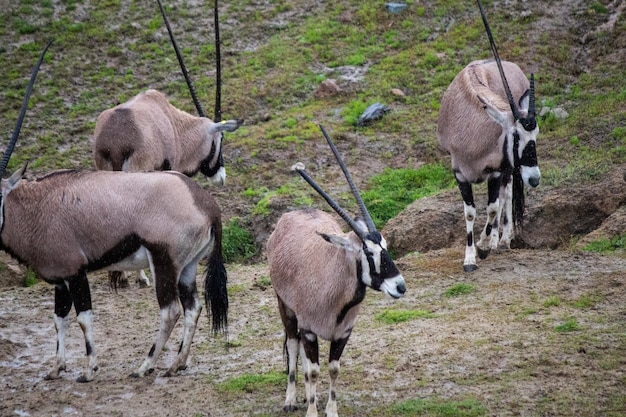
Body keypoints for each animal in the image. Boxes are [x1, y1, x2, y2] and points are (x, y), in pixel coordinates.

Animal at [1, 41, 228, 380]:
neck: (36, 206)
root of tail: (204, 201)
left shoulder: (75, 273)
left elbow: (83, 317)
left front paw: (89, 369)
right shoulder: (60, 280)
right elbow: (59, 319)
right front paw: (56, 367)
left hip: (164, 262)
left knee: (170, 310)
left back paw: (145, 365)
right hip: (187, 267)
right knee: (193, 307)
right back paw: (177, 363)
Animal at [264, 126, 404, 416]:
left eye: (386, 246)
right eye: (368, 253)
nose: (400, 286)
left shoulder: (342, 334)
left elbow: (333, 369)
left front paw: (330, 410)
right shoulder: (308, 329)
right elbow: (314, 371)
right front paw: (312, 411)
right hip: (286, 308)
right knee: (293, 347)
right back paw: (291, 399)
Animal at [436, 0, 540, 270]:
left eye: (535, 136)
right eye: (516, 136)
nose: (535, 179)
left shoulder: (495, 172)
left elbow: (493, 208)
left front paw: (483, 247)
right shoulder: (460, 173)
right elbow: (470, 211)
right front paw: (470, 258)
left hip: (507, 170)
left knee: (506, 195)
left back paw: (501, 240)